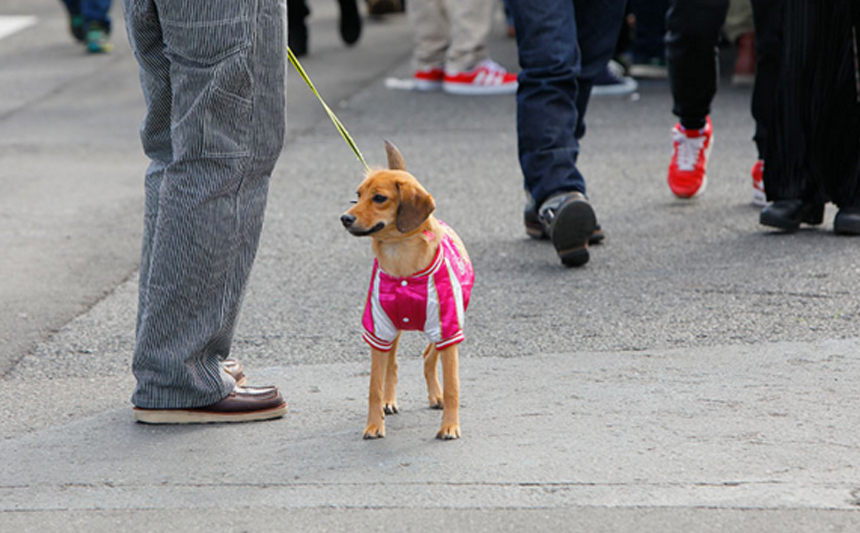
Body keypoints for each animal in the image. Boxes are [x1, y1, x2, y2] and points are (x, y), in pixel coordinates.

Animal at [342, 141, 478, 440]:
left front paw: (450, 425)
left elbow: (453, 385)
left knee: (429, 357)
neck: (401, 258)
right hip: (393, 332)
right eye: (357, 195)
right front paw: (374, 424)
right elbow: (374, 386)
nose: (345, 218)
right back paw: (389, 402)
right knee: (392, 365)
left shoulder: (448, 328)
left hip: (445, 327)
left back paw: (437, 397)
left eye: (379, 198)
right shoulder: (378, 329)